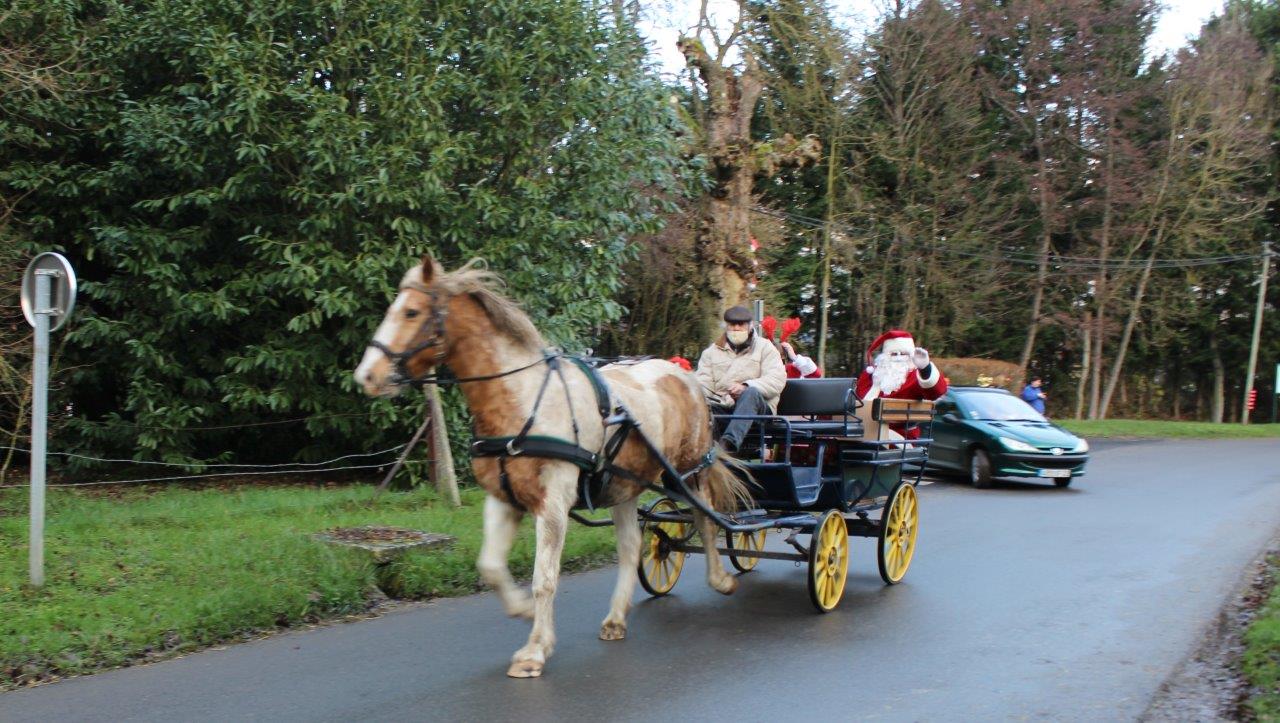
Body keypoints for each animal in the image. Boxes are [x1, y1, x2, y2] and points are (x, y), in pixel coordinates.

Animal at [353, 254, 747, 675]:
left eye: (411, 311)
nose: (366, 375)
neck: (522, 400)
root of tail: (683, 374)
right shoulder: (503, 498)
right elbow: (491, 567)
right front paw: (524, 610)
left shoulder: (553, 503)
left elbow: (544, 577)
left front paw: (535, 649)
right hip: (624, 486)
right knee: (631, 547)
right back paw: (616, 618)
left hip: (689, 471)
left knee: (706, 520)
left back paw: (721, 579)